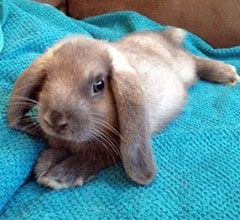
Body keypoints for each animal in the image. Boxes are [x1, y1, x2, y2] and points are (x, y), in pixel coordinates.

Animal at [7, 27, 240, 189]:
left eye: (99, 84)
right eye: (48, 76)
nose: (54, 119)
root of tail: (164, 36)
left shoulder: (113, 149)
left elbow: (94, 157)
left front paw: (60, 174)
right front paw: (47, 164)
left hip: (185, 68)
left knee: (195, 60)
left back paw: (228, 74)